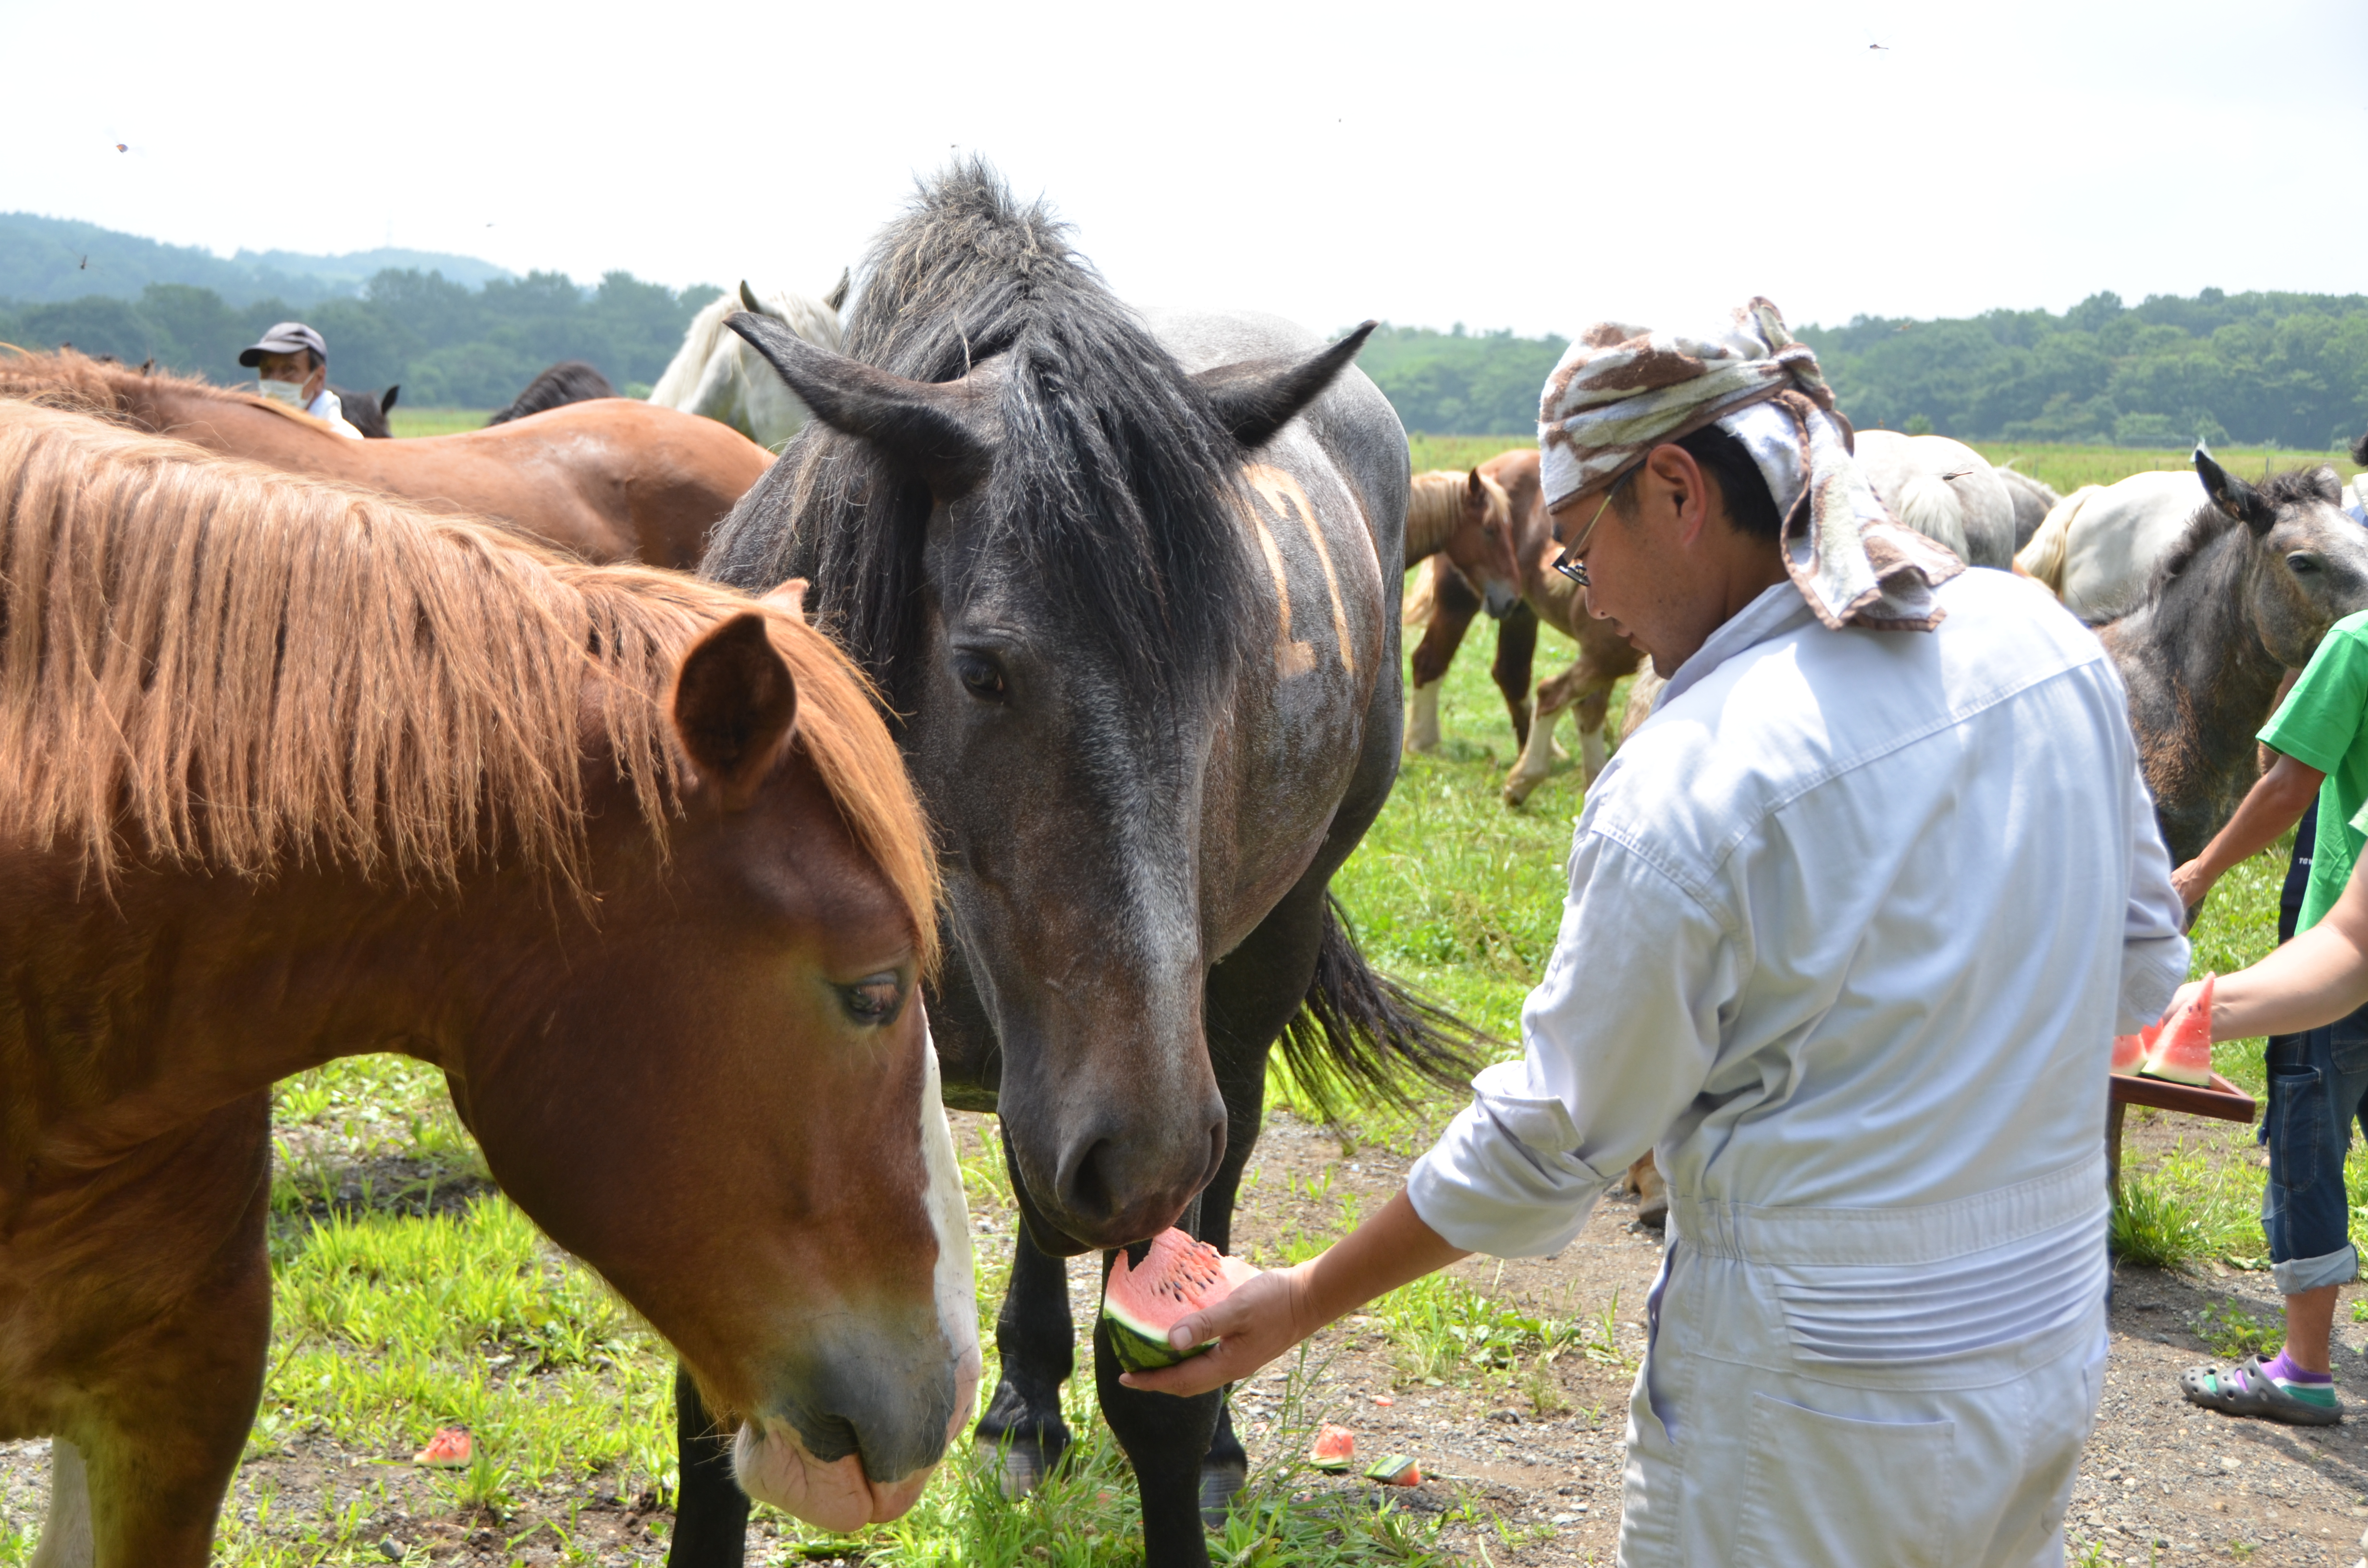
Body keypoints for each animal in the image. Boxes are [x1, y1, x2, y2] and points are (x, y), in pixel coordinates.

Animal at [677, 159, 1468, 1568]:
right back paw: (1023, 1406)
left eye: (1237, 662)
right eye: (983, 669)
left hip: (1241, 990)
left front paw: (1177, 1439)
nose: (1142, 1153)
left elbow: (1154, 1373)